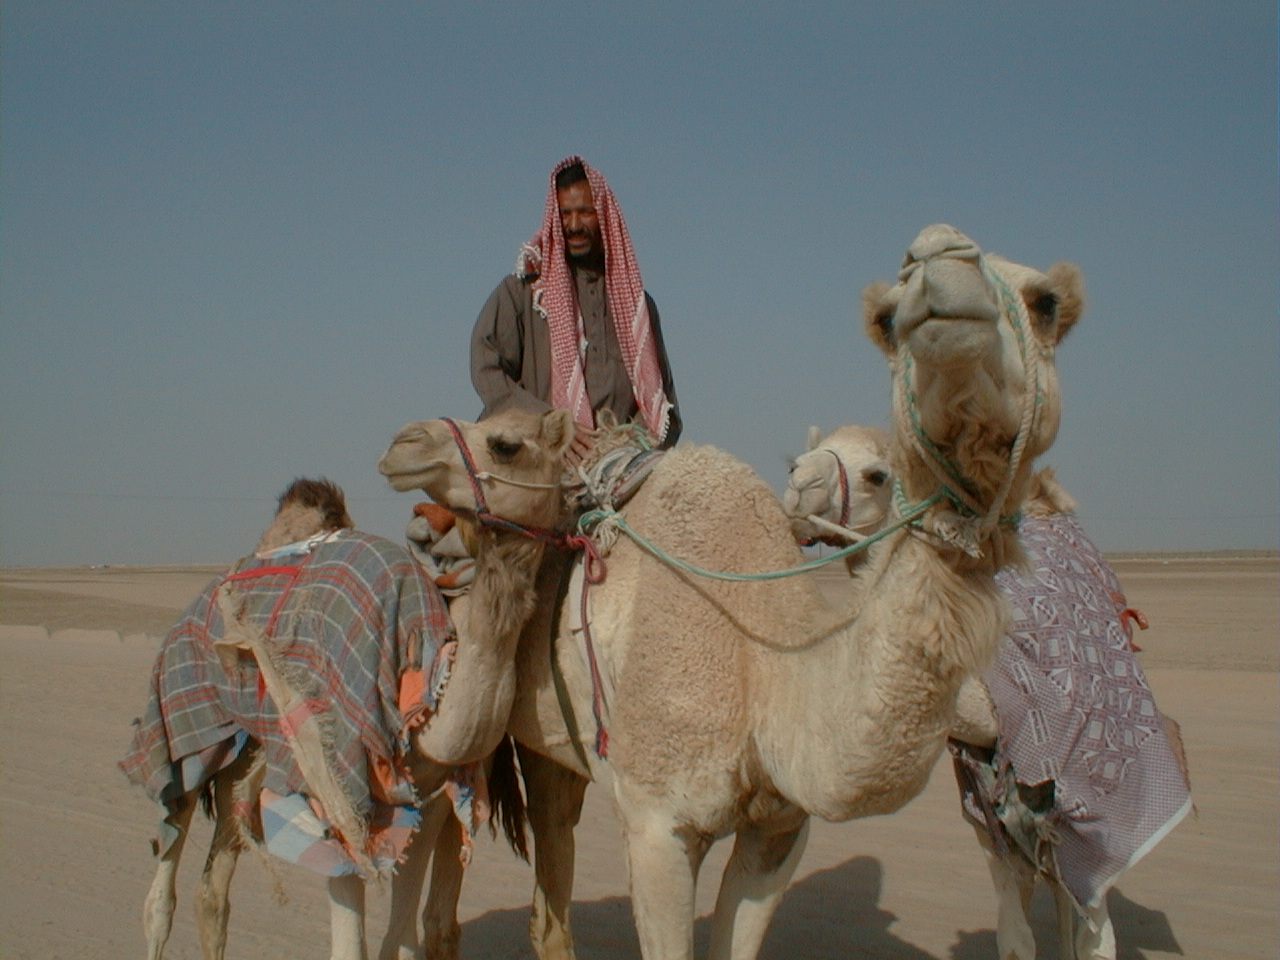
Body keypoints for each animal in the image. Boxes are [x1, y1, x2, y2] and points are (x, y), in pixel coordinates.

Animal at [125, 408, 573, 960]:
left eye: (505, 444)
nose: (405, 441)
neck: (425, 691)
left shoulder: (425, 798)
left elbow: (402, 934)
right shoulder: (340, 800)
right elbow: (352, 943)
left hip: (248, 756)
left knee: (212, 889)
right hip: (185, 726)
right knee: (162, 887)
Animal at [383, 224, 1084, 960]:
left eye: (1047, 305)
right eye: (888, 319)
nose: (940, 266)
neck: (764, 663)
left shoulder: (778, 830)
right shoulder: (657, 821)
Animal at [782, 433, 1193, 960]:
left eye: (877, 474)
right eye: (805, 454)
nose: (797, 482)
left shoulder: (1094, 816)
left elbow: (1097, 936)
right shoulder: (989, 816)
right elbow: (1016, 937)